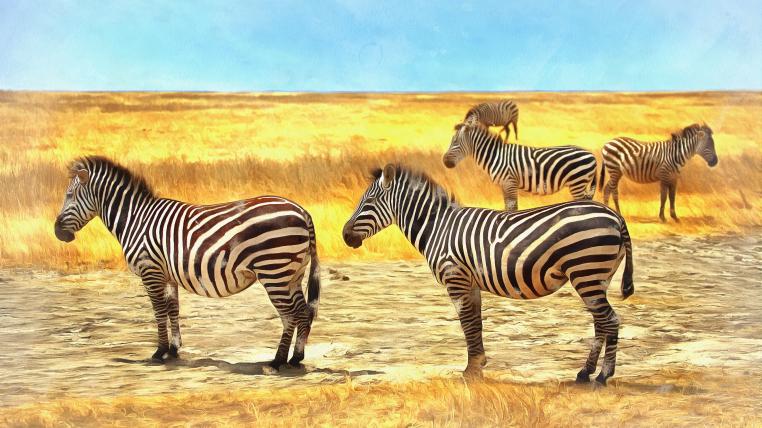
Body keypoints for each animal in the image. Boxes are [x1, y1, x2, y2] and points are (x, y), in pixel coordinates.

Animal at [54, 156, 320, 373]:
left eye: (69, 196)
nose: (57, 233)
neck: (136, 219)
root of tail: (303, 211)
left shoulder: (150, 270)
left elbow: (158, 311)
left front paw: (159, 352)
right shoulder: (167, 274)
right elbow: (173, 309)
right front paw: (173, 349)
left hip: (274, 270)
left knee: (290, 314)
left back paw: (277, 362)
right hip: (293, 272)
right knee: (303, 311)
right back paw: (296, 358)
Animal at [342, 164, 634, 384]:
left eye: (368, 202)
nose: (345, 236)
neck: (438, 227)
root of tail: (616, 217)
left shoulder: (455, 277)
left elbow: (467, 324)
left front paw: (471, 371)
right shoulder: (470, 282)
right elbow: (476, 323)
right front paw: (478, 364)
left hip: (586, 271)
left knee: (610, 320)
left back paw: (603, 375)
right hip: (597, 276)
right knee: (601, 322)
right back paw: (585, 373)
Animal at [444, 123, 598, 212]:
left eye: (455, 142)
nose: (445, 162)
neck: (495, 156)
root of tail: (592, 155)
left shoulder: (510, 182)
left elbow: (512, 208)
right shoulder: (504, 185)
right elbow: (508, 207)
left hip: (577, 182)